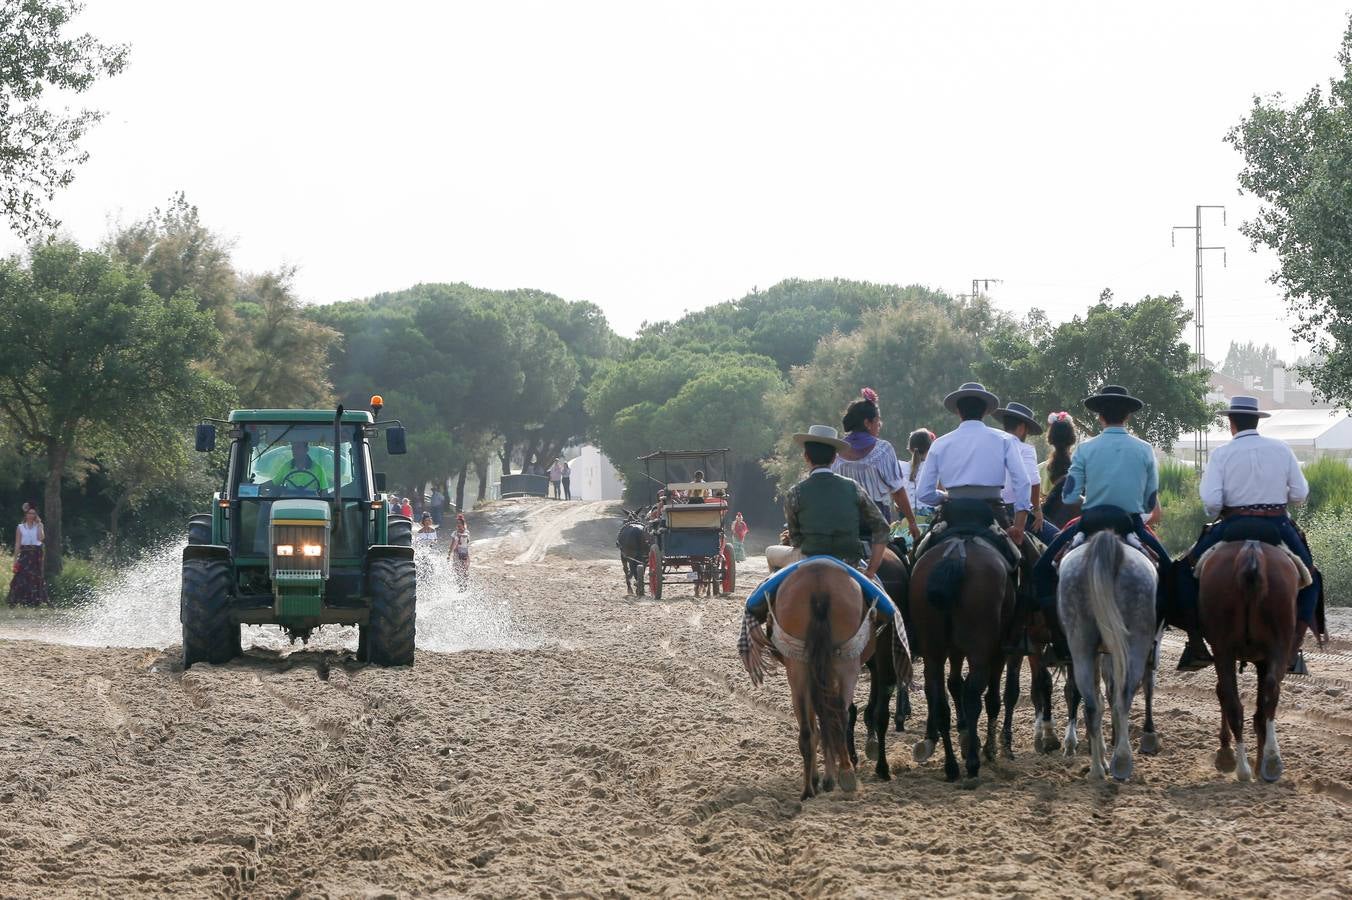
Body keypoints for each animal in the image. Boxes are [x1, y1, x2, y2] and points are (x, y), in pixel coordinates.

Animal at [762, 562, 876, 800]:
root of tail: (819, 581)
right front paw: (827, 777)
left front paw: (819, 778)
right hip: (844, 663)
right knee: (837, 715)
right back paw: (842, 774)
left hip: (799, 666)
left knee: (811, 728)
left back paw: (810, 789)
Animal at [908, 527, 1016, 778]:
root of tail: (956, 553)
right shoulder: (999, 652)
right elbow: (992, 698)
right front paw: (987, 748)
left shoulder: (954, 650)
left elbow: (954, 684)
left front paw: (966, 735)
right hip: (980, 652)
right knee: (975, 695)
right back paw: (973, 762)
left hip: (934, 651)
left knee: (940, 700)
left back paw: (951, 766)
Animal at [1059, 527, 1157, 778]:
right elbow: (1147, 686)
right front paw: (1149, 737)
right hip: (1136, 642)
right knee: (1123, 695)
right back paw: (1121, 761)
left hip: (1081, 644)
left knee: (1092, 703)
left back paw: (1096, 770)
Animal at [1205, 540, 1297, 778]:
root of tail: (1252, 551)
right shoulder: (1264, 659)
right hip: (1274, 647)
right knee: (1267, 692)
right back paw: (1264, 763)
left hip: (1225, 650)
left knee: (1235, 700)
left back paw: (1247, 767)